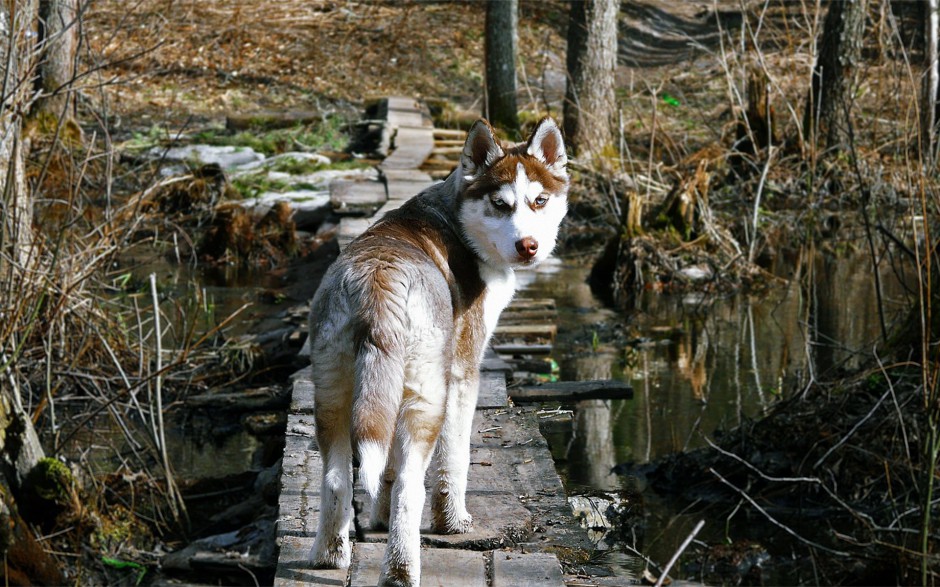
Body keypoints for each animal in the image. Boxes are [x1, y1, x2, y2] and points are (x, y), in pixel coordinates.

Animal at [312, 117, 568, 584]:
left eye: (539, 200)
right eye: (500, 204)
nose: (528, 246)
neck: (458, 222)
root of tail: (379, 280)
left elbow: (386, 469)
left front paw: (377, 517)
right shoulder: (463, 374)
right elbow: (455, 459)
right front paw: (453, 522)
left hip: (333, 393)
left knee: (340, 477)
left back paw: (329, 556)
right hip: (426, 400)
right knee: (412, 485)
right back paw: (400, 570)